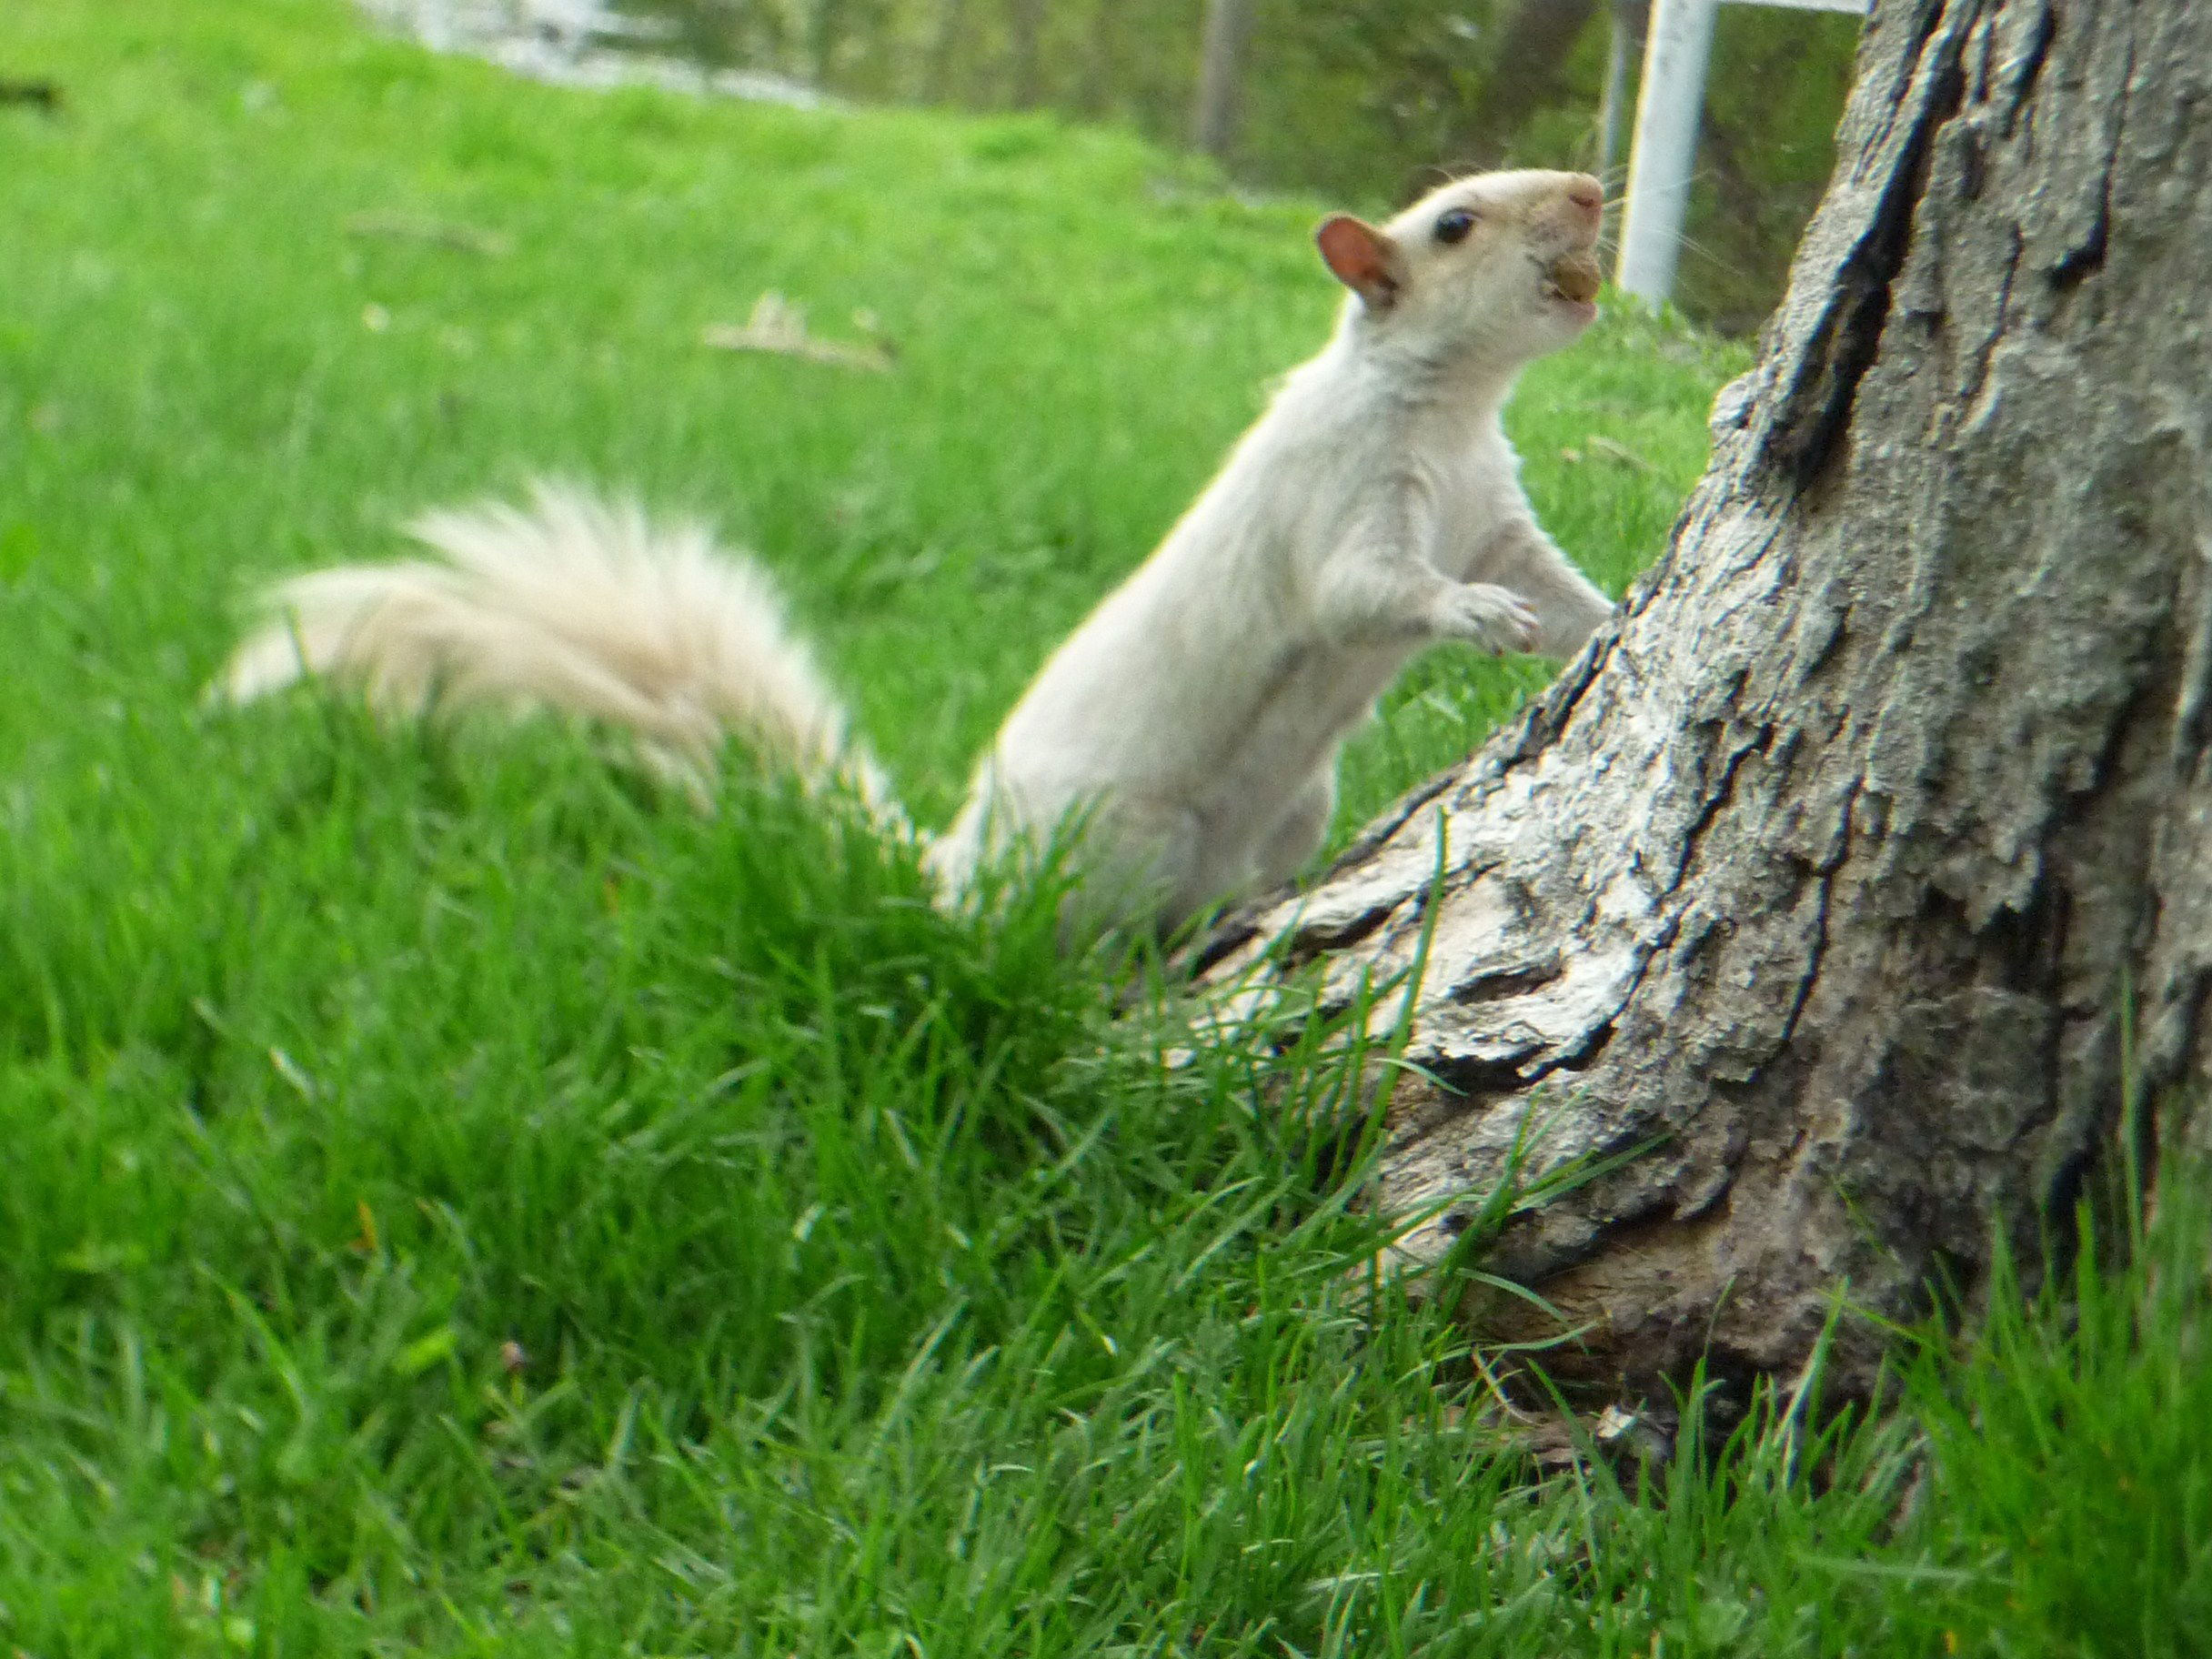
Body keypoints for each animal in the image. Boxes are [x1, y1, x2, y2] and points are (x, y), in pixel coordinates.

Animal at [219, 176, 1610, 942]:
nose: (1595, 194)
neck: (1451, 408)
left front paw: (1592, 621)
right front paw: (1472, 617)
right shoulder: (1341, 502)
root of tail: (951, 874)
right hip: (1124, 840)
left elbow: (1556, 586)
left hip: (1290, 811)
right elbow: (1368, 593)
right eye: (1454, 222)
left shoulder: (1492, 506)